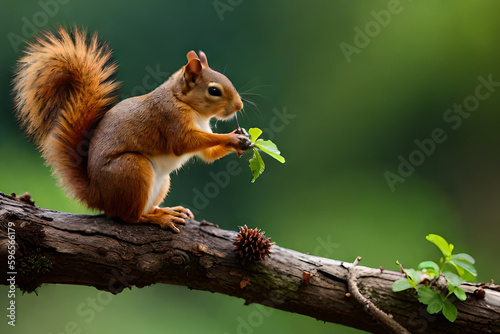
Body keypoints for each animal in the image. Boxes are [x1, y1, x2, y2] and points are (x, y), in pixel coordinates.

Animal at [13, 27, 252, 232]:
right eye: (214, 91)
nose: (239, 106)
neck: (184, 102)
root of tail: (98, 195)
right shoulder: (170, 119)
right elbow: (183, 143)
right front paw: (231, 138)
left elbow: (207, 154)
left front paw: (242, 139)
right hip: (133, 169)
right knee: (129, 217)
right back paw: (158, 218)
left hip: (161, 182)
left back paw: (165, 210)